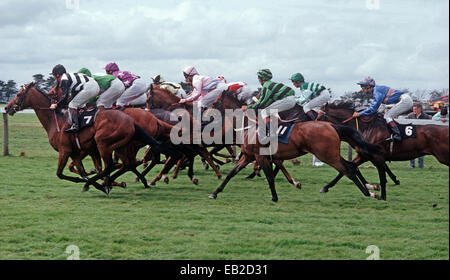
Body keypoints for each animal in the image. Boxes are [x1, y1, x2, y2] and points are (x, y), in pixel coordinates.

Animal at [208, 91, 384, 202]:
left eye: (215, 102)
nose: (207, 115)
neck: (249, 127)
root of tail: (332, 126)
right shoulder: (248, 156)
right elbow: (232, 173)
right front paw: (215, 193)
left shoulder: (261, 156)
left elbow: (270, 176)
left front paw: (275, 197)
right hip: (331, 154)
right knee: (351, 166)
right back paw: (369, 190)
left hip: (326, 155)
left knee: (348, 170)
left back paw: (368, 193)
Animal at [318, 100, 448, 199]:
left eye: (320, 116)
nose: (315, 127)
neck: (367, 128)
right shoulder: (363, 155)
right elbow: (347, 168)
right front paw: (326, 187)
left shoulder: (374, 156)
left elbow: (378, 175)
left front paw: (381, 193)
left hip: (443, 156)